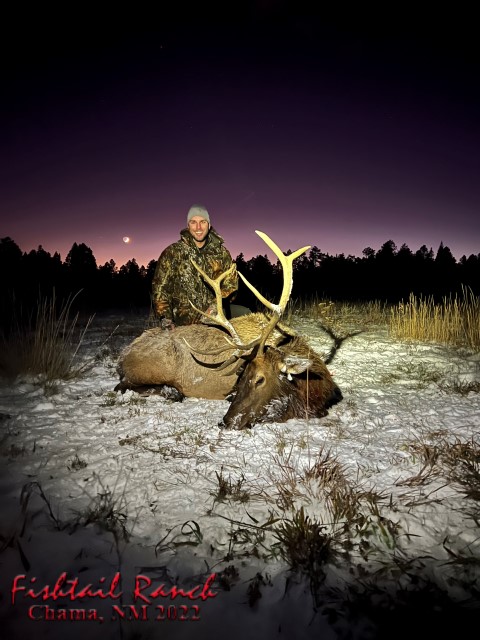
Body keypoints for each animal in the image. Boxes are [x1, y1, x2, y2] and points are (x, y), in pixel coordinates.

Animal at [115, 231, 343, 429]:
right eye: (240, 379)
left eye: (260, 379)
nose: (226, 421)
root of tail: (122, 357)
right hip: (149, 369)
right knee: (121, 386)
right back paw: (172, 391)